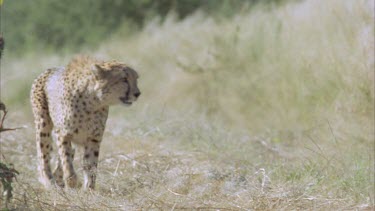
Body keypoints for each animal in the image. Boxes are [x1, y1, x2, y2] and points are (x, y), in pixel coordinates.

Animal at [29, 55, 141, 189]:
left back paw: (60, 185)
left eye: (136, 78)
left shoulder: (93, 138)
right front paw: (72, 182)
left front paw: (89, 189)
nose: (138, 94)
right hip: (43, 125)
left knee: (59, 166)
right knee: (43, 158)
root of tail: (50, 69)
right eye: (124, 79)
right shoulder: (62, 134)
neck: (94, 101)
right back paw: (49, 183)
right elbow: (66, 162)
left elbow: (91, 166)